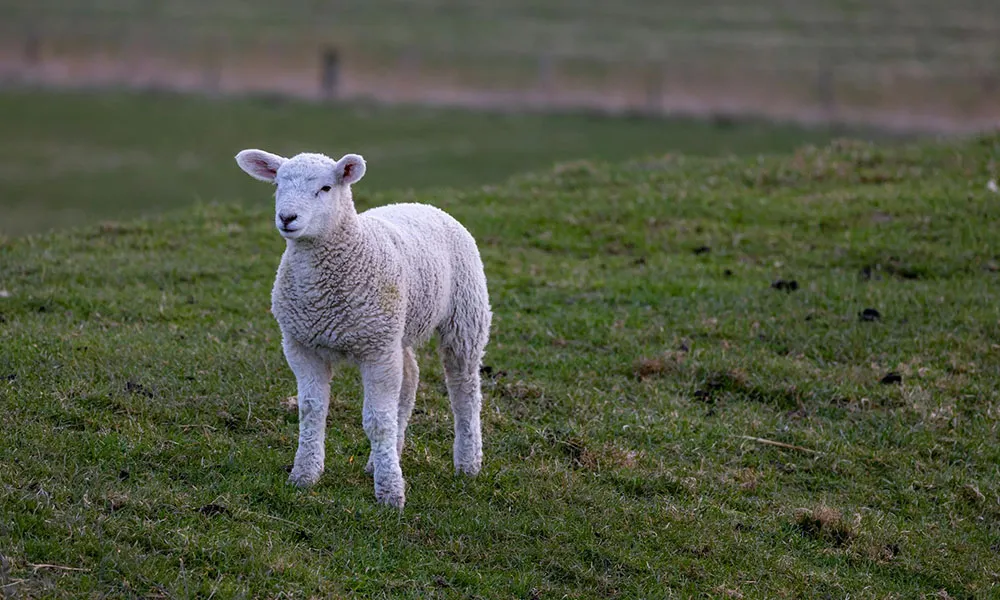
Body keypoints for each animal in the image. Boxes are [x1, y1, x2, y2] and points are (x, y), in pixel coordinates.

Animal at [235, 149, 491, 509]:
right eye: (278, 185)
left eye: (326, 188)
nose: (287, 218)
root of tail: (422, 204)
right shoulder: (301, 346)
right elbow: (311, 411)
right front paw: (304, 476)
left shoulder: (376, 351)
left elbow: (377, 421)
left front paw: (390, 493)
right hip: (396, 329)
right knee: (410, 378)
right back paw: (383, 458)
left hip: (465, 315)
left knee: (464, 388)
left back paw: (468, 464)